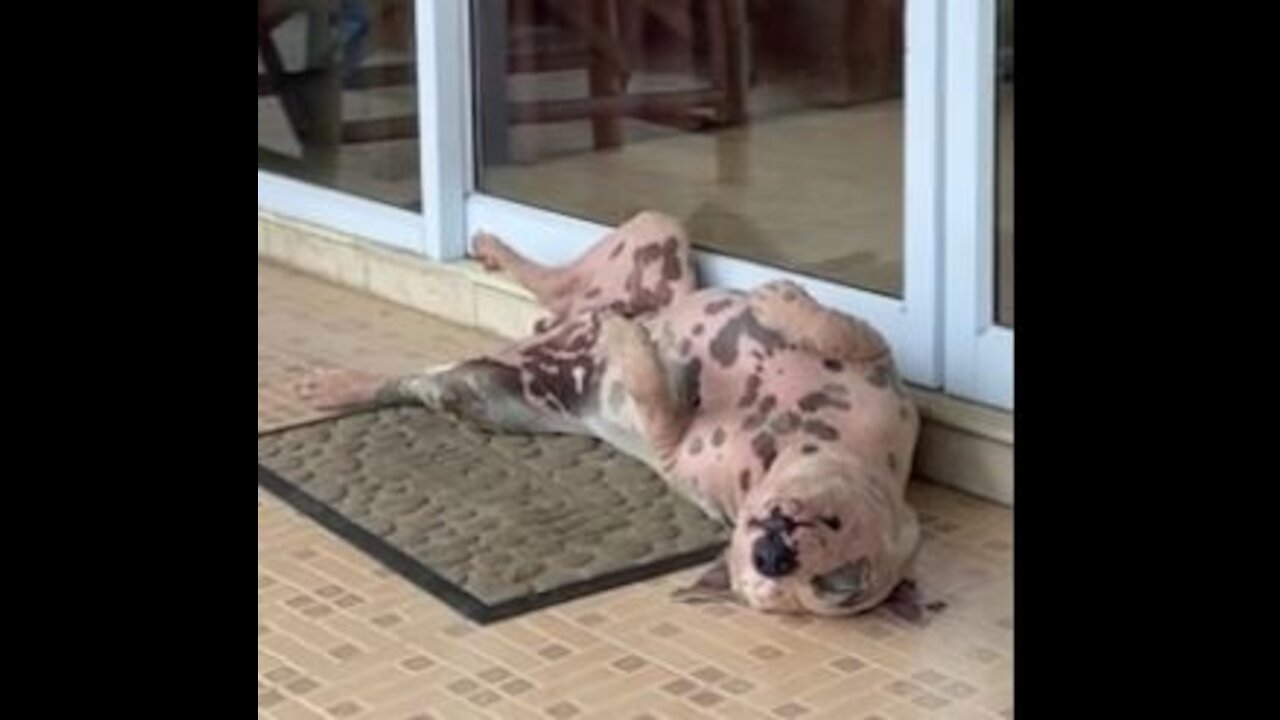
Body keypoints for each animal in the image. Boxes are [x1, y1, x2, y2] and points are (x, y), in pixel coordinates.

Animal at [302, 210, 931, 614]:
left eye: (829, 588)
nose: (773, 558)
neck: (801, 442)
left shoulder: (675, 450)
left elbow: (656, 401)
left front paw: (632, 350)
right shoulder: (883, 379)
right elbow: (842, 328)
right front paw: (779, 298)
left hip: (485, 390)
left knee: (423, 383)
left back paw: (349, 386)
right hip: (658, 237)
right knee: (559, 284)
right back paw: (499, 254)